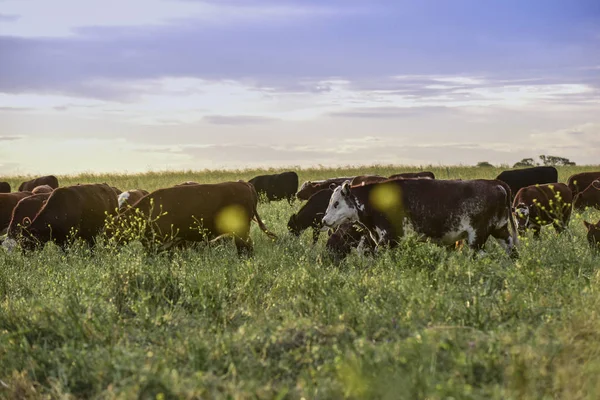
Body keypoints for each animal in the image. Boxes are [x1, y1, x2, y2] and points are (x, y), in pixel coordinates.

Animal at [322, 179, 516, 256]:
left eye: (336, 203)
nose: (324, 220)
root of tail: (495, 184)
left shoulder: (389, 238)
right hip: (500, 230)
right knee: (512, 250)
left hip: (477, 237)